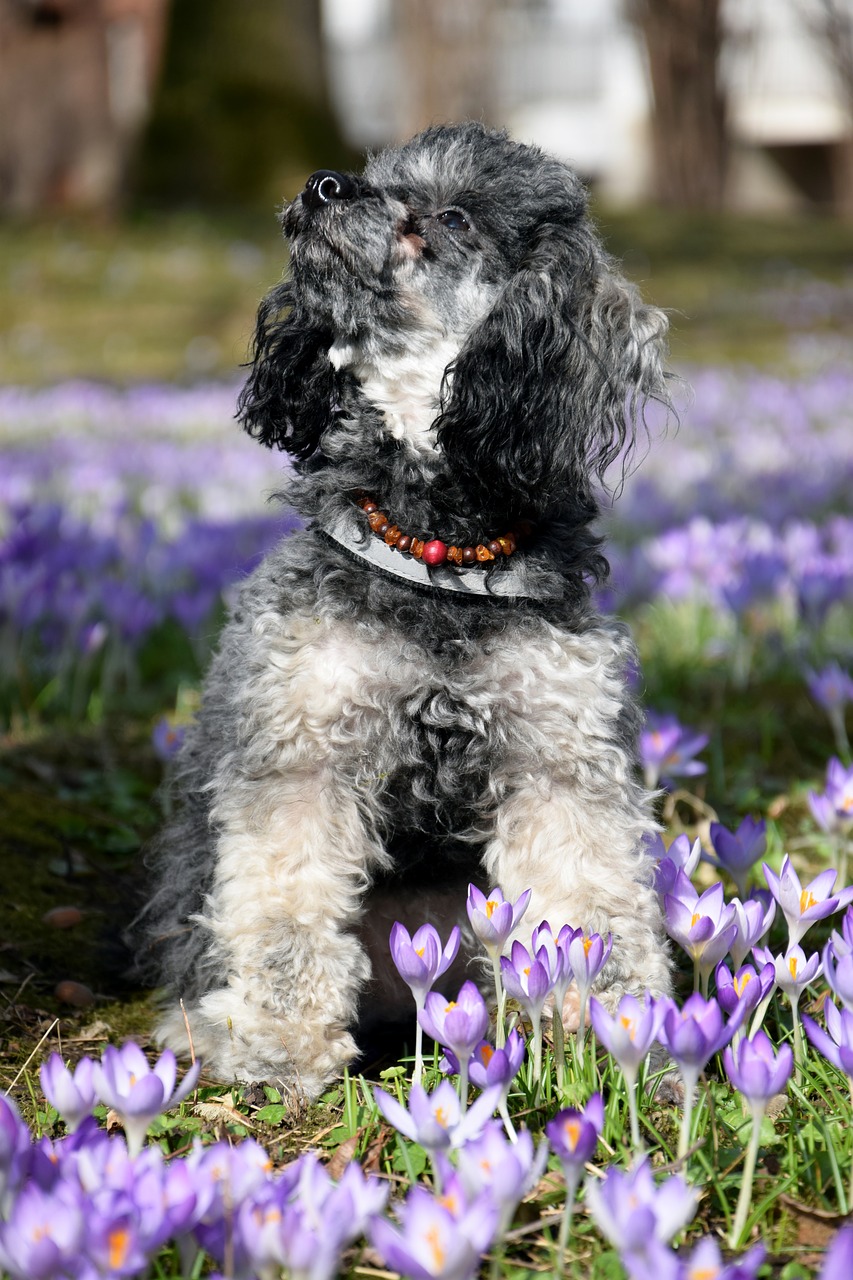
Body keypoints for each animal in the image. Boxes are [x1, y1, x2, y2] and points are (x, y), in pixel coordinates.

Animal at [137, 122, 671, 1100]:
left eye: (452, 217)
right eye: (373, 176)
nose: (321, 184)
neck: (436, 554)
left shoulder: (560, 759)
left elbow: (589, 909)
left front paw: (617, 1039)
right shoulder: (303, 751)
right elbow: (282, 916)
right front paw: (279, 1049)